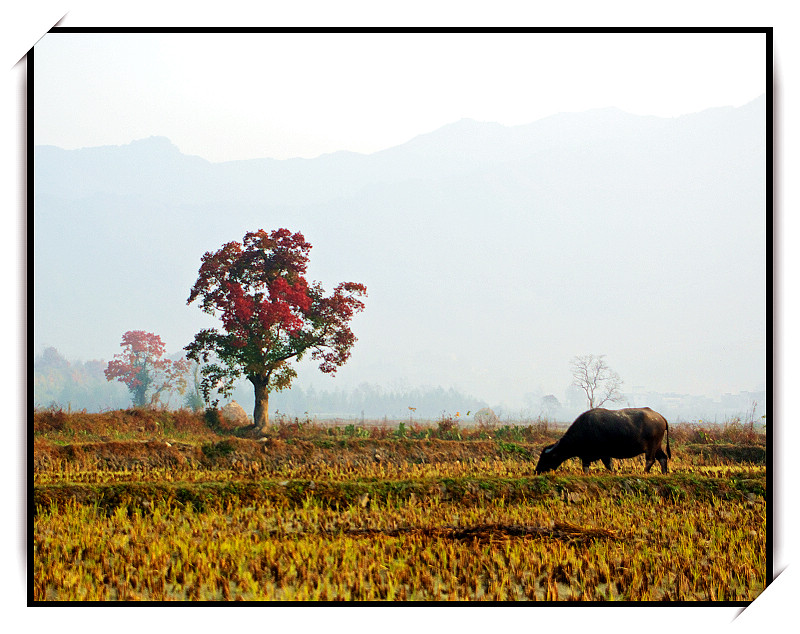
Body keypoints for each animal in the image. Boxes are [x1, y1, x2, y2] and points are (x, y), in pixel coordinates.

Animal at [536, 408, 668, 472]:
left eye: (545, 458)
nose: (537, 470)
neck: (584, 429)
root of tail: (660, 417)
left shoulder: (604, 454)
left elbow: (608, 465)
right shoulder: (586, 456)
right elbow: (586, 467)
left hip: (651, 447)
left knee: (650, 460)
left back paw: (644, 472)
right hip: (657, 446)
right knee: (663, 458)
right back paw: (664, 472)